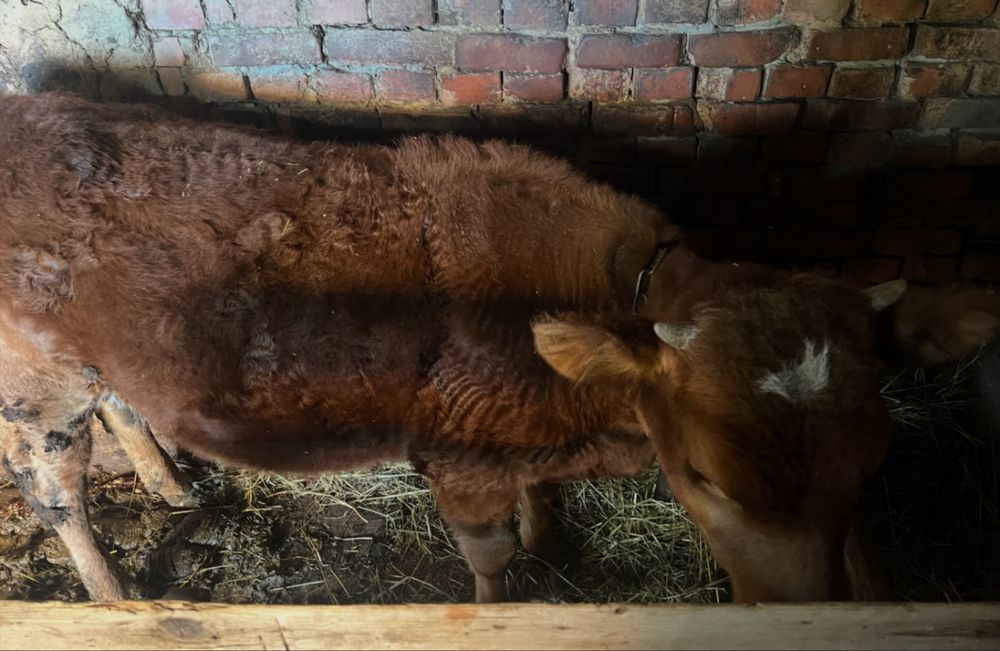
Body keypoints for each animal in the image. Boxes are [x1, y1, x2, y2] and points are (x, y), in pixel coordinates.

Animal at [0, 92, 996, 604]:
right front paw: (499, 598)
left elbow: (540, 496)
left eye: (869, 472)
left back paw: (171, 485)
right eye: (705, 479)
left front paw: (552, 535)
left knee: (126, 405)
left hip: (98, 367)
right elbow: (489, 557)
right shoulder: (460, 461)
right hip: (36, 392)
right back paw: (118, 600)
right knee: (56, 494)